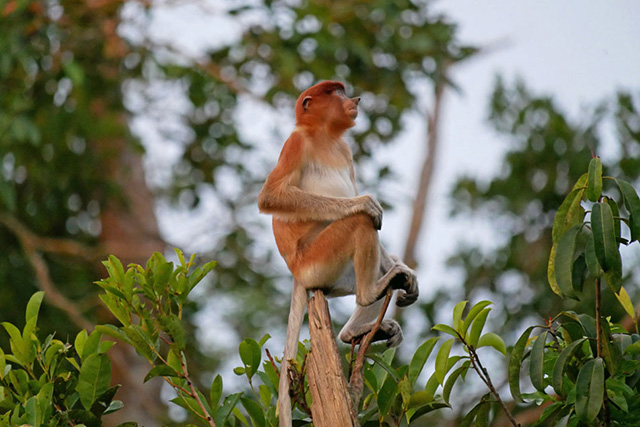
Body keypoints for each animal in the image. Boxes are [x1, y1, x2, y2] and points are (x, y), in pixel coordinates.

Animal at [258, 82, 418, 426]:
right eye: (336, 92)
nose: (355, 99)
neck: (324, 137)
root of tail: (296, 273)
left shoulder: (346, 151)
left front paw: (411, 278)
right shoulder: (295, 144)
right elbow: (271, 197)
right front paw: (365, 202)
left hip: (334, 276)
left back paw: (353, 330)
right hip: (317, 261)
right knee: (360, 223)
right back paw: (371, 292)